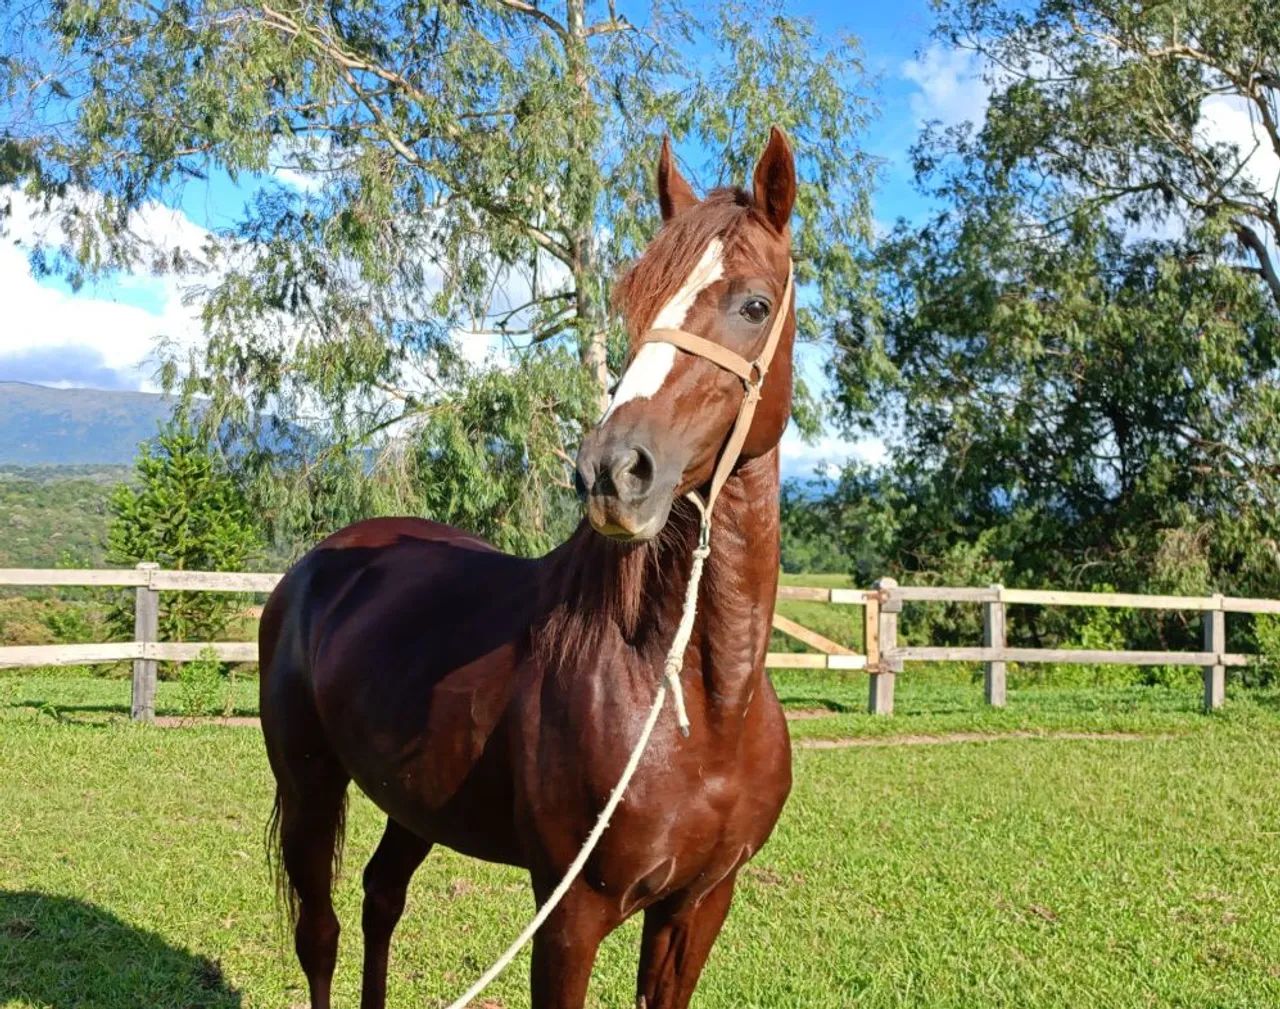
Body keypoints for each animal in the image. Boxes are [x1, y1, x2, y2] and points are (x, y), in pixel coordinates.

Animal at [259, 126, 799, 1009]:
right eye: (634, 301)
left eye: (754, 304)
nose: (613, 470)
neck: (698, 701)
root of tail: (315, 566)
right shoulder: (568, 911)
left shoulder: (697, 906)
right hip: (309, 785)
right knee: (321, 934)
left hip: (413, 801)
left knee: (381, 897)